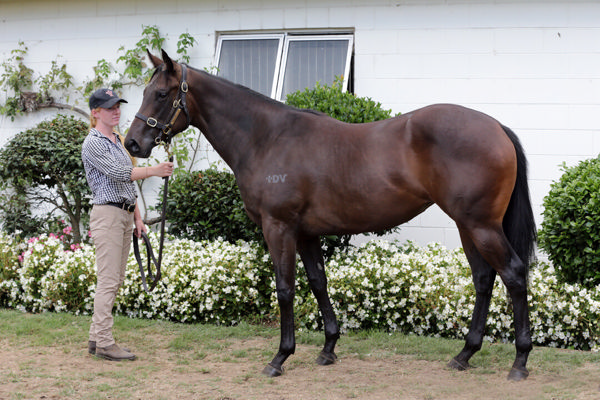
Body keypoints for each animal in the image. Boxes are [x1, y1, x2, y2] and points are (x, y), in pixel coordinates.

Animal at [124, 50, 536, 382]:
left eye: (161, 94)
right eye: (144, 91)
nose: (132, 143)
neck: (267, 138)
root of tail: (496, 127)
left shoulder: (279, 228)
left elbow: (286, 288)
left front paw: (280, 357)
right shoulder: (306, 232)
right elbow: (318, 282)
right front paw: (328, 348)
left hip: (480, 226)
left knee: (514, 275)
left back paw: (519, 362)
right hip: (469, 226)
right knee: (484, 279)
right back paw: (464, 354)